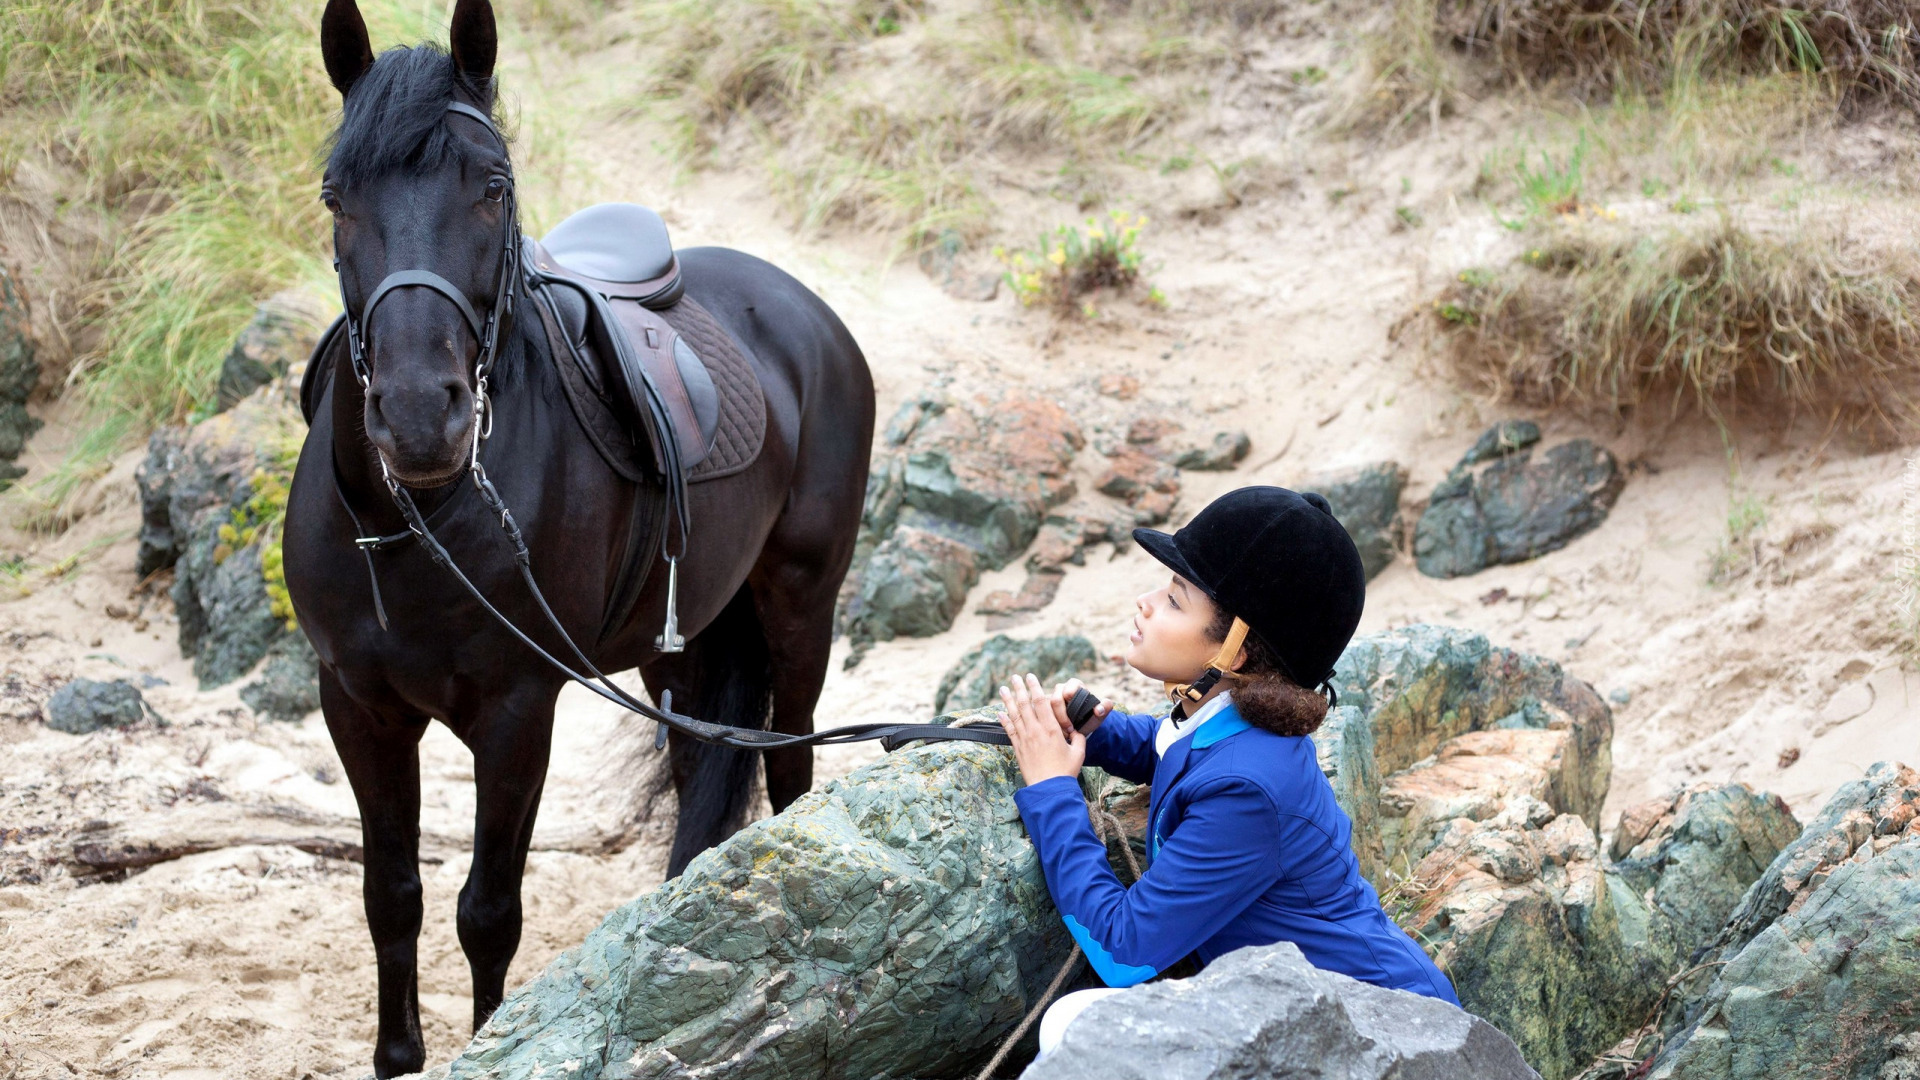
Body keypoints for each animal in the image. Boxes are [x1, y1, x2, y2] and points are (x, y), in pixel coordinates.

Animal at [282, 0, 879, 1068]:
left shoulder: (518, 712)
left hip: (802, 604)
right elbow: (392, 900)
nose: (418, 415)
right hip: (683, 643)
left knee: (791, 763)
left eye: (493, 187)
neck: (416, 520)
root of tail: (802, 310)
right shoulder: (355, 703)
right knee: (700, 772)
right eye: (335, 196)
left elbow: (488, 913)